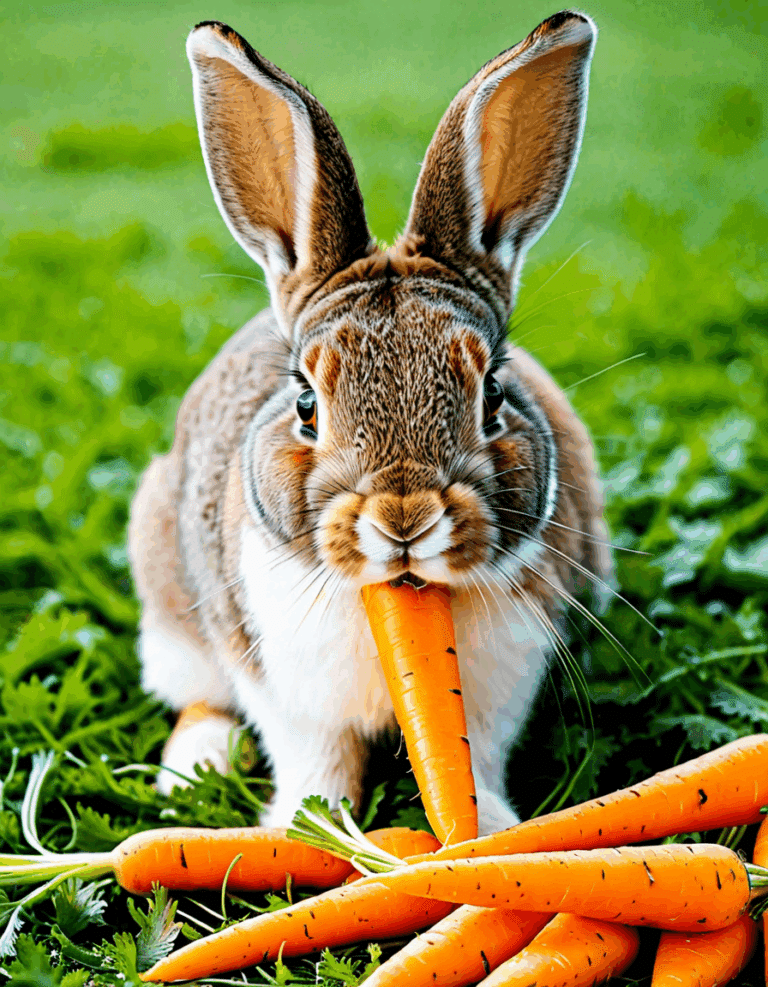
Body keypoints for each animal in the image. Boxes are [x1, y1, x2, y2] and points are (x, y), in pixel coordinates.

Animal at [127, 9, 612, 837]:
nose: (404, 517)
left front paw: (490, 832)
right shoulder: (280, 682)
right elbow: (313, 757)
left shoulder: (505, 684)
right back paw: (193, 770)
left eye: (492, 394)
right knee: (196, 693)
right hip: (170, 603)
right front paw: (304, 827)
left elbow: (474, 759)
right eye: (305, 404)